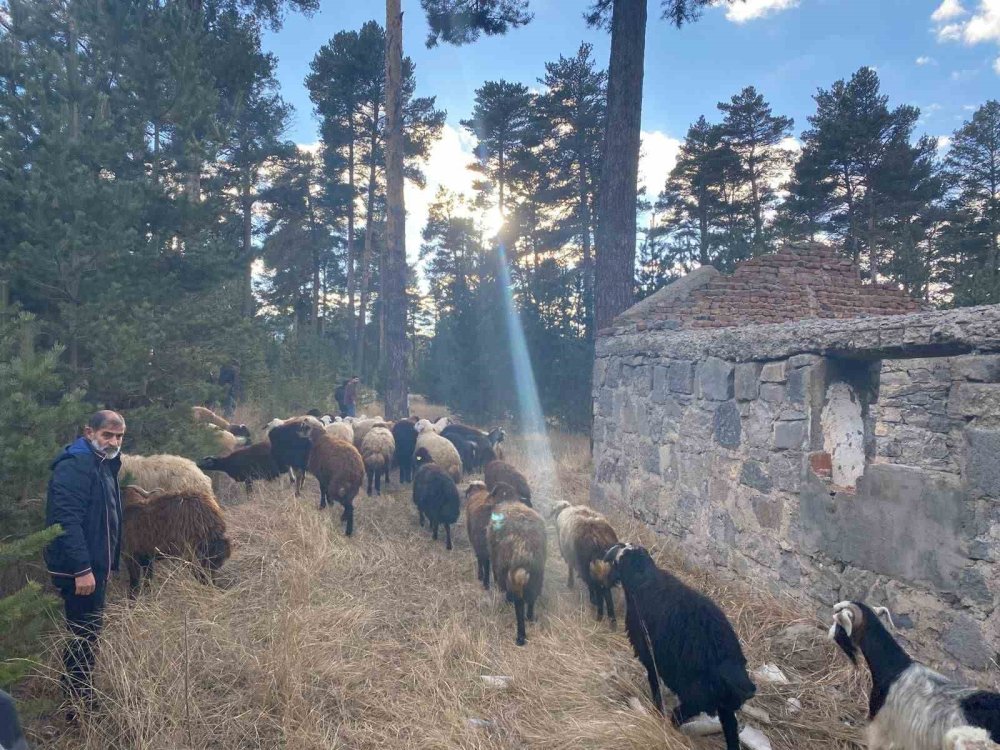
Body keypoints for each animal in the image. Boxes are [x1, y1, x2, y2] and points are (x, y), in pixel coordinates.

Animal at [486, 500, 548, 648]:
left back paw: (520, 636)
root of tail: (524, 551)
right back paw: (530, 618)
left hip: (508, 571)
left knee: (519, 603)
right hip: (537, 575)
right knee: (531, 598)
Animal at [548, 500, 616, 628]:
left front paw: (570, 583)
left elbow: (570, 569)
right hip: (603, 568)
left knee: (598, 590)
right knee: (606, 592)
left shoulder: (569, 555)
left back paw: (598, 614)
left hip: (585, 565)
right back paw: (612, 620)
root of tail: (597, 537)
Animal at [600, 548, 756, 750]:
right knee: (730, 730)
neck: (644, 579)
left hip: (697, 697)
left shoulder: (650, 654)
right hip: (721, 704)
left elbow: (654, 682)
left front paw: (657, 709)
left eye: (616, 563)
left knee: (678, 714)